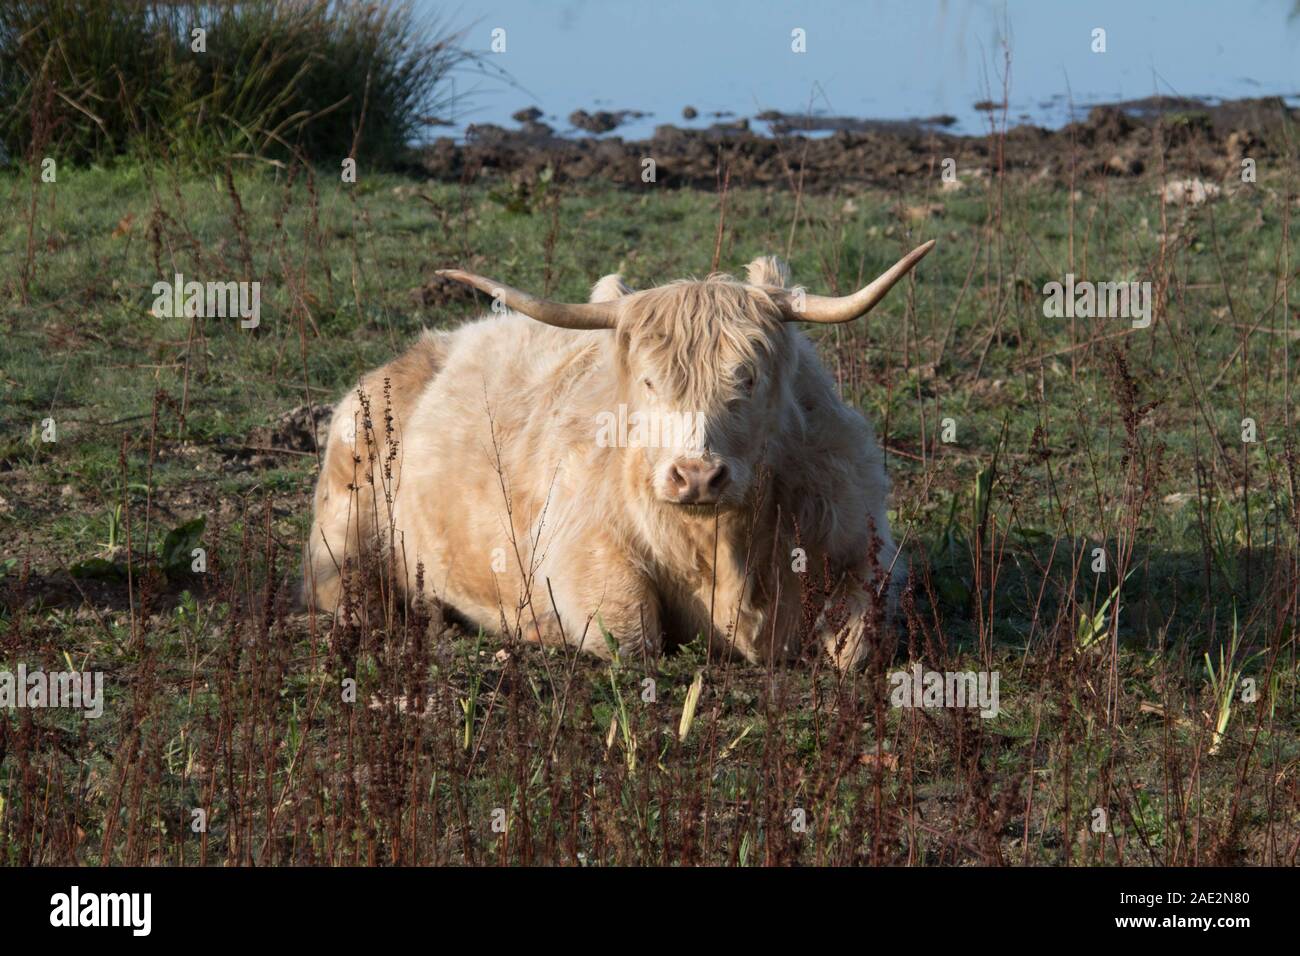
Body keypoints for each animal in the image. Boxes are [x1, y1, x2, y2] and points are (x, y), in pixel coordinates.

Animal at [303, 241, 934, 669]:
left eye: (748, 378)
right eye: (650, 381)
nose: (696, 476)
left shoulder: (864, 543)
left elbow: (854, 642)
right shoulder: (579, 547)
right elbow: (631, 635)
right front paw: (538, 627)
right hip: (345, 510)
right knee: (342, 585)